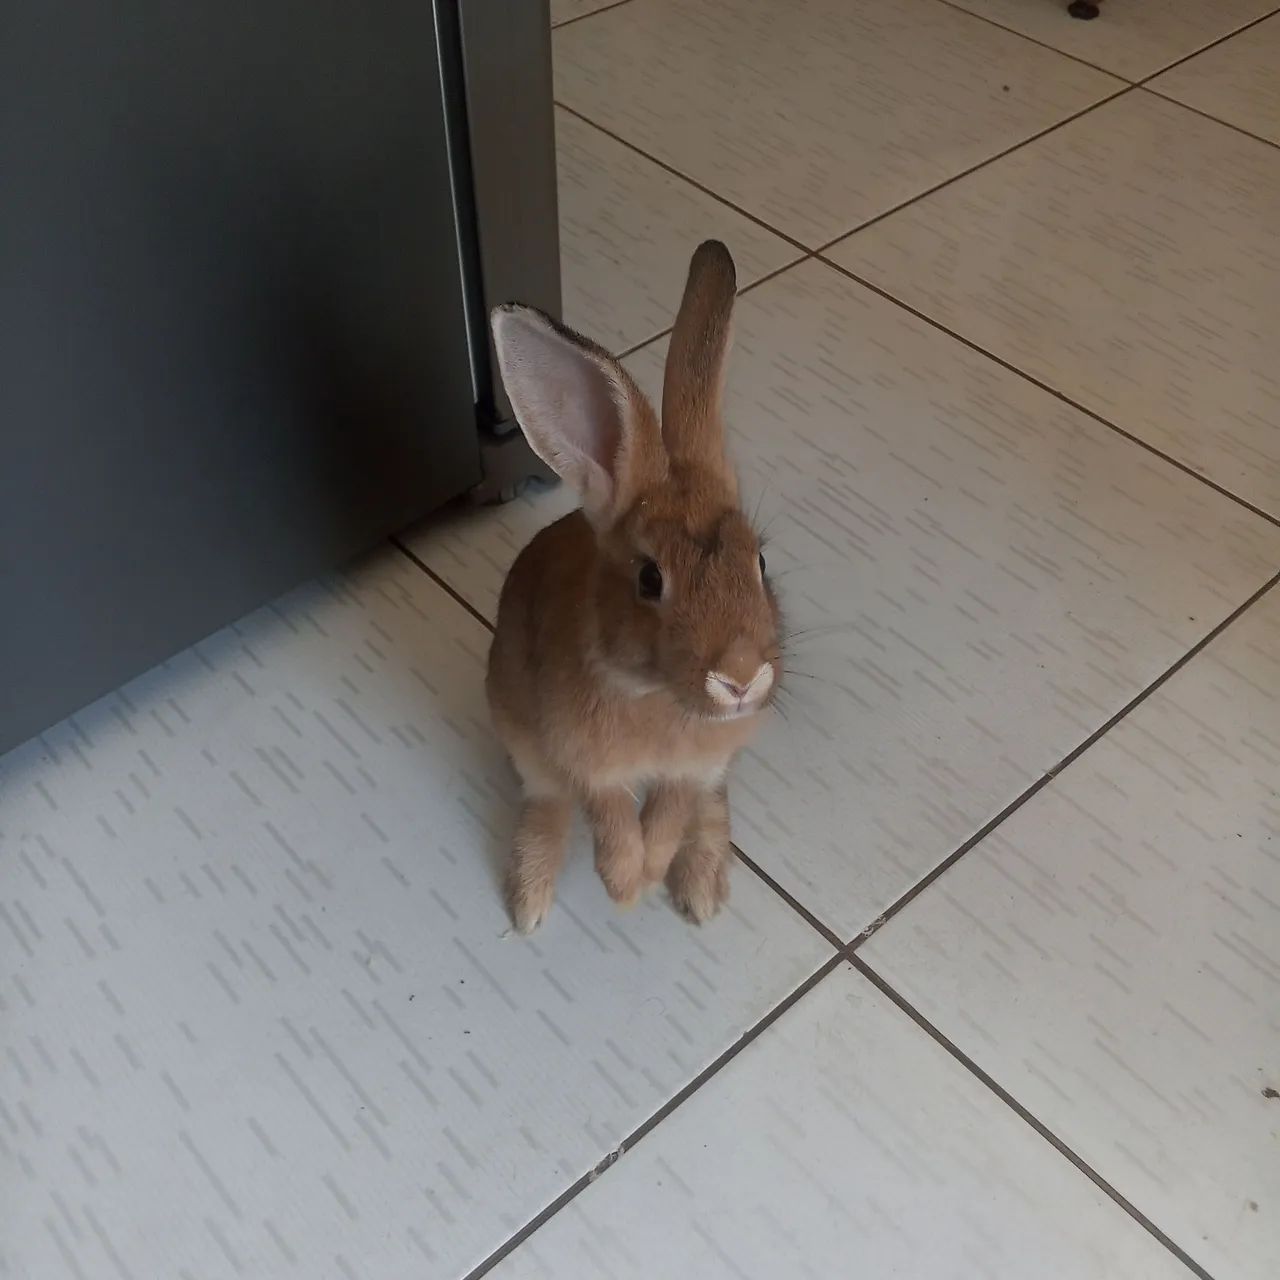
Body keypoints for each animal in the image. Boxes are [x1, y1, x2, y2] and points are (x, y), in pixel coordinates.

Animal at [487, 240, 782, 934]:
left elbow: (672, 811)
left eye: (759, 562)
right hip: (518, 729)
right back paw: (529, 902)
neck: (658, 698)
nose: (741, 677)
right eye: (650, 578)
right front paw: (627, 886)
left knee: (711, 804)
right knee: (546, 800)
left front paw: (652, 876)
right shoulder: (590, 767)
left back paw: (702, 889)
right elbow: (613, 819)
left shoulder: (691, 768)